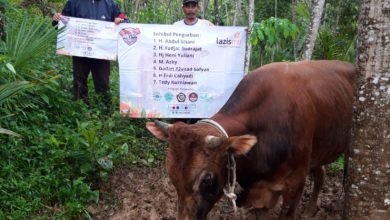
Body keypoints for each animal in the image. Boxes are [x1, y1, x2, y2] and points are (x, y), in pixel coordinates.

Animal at [145, 60, 354, 220]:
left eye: (207, 179)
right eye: (172, 175)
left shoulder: (295, 186)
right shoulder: (258, 192)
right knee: (321, 173)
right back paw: (310, 210)